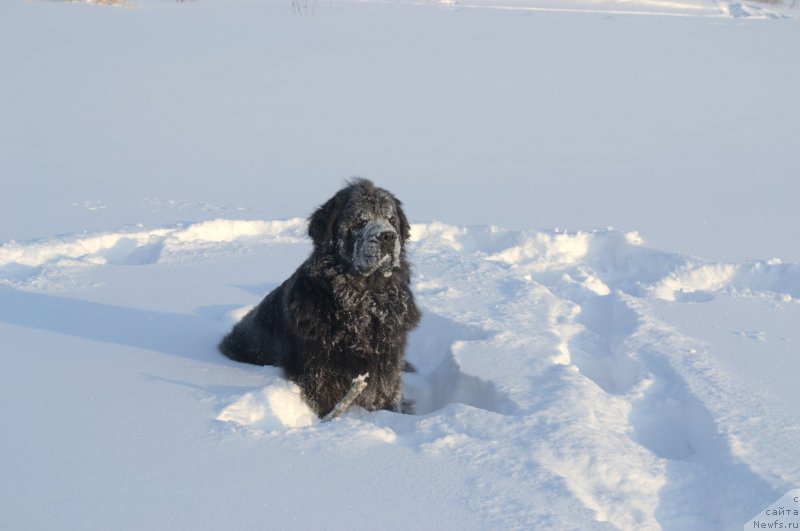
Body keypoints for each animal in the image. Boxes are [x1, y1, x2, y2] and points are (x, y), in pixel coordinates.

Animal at [216, 181, 422, 418]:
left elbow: (387, 394)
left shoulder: (388, 360)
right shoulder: (320, 368)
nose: (387, 236)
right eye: (360, 221)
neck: (363, 301)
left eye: (391, 220)